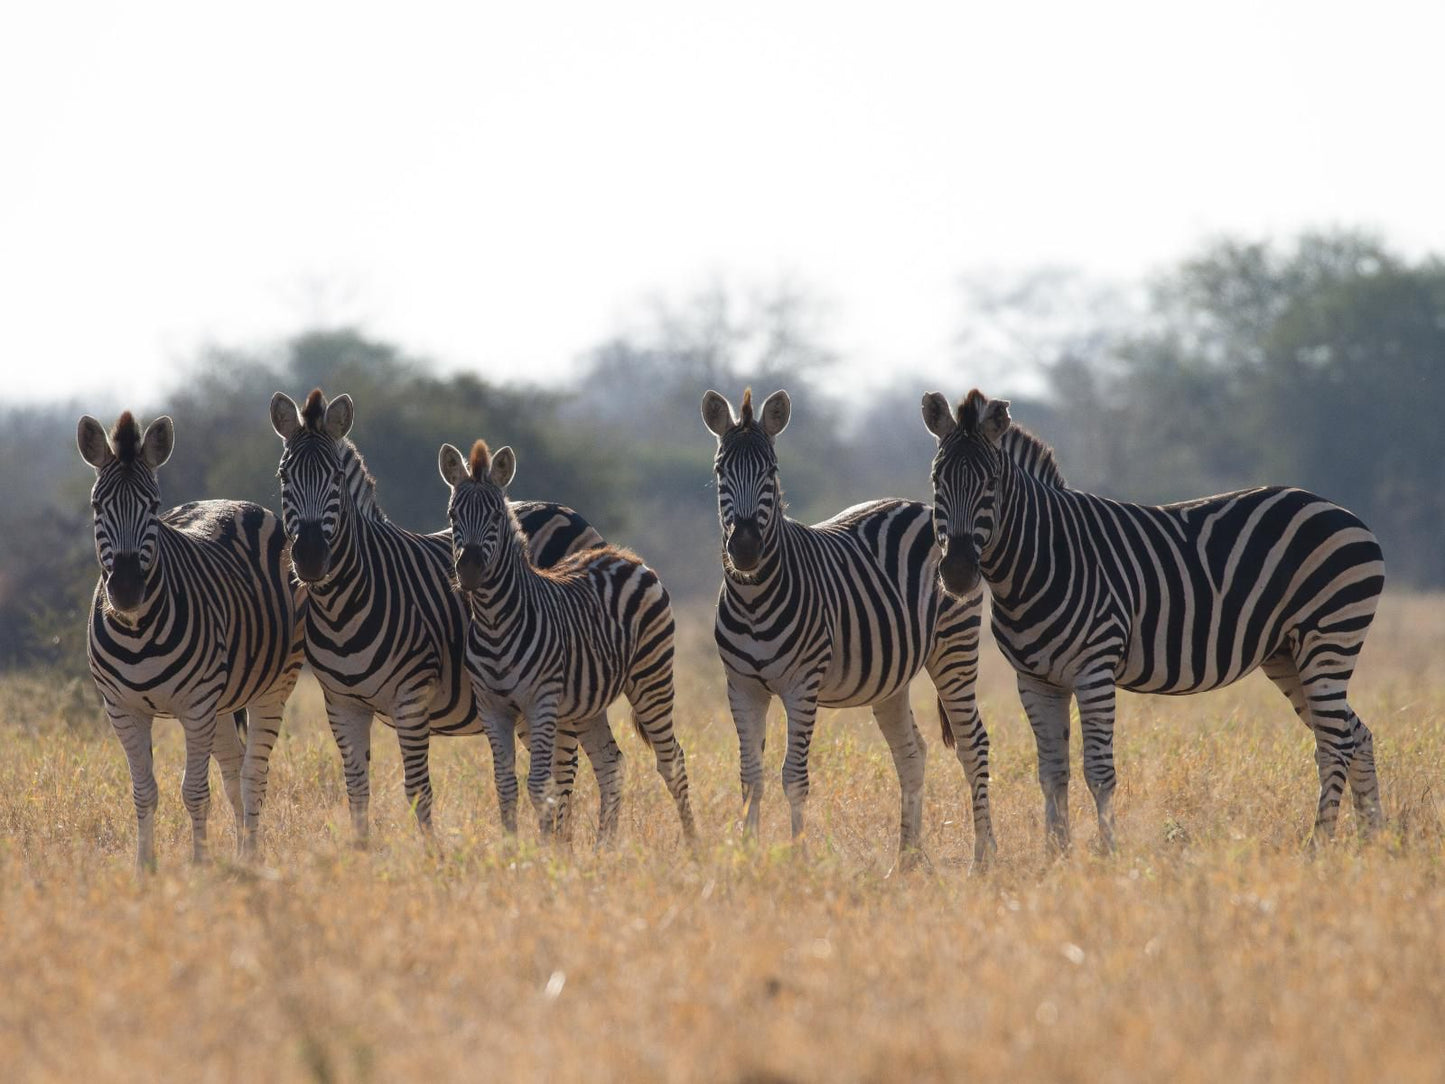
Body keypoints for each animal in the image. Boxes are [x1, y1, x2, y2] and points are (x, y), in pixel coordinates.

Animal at [78, 410, 302, 872]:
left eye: (153, 506)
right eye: (96, 506)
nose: (126, 590)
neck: (137, 632)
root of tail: (234, 502)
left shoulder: (196, 705)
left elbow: (194, 791)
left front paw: (199, 865)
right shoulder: (122, 709)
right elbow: (144, 792)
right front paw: (145, 868)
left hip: (271, 686)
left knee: (253, 774)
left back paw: (250, 855)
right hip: (222, 701)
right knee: (233, 768)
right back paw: (240, 851)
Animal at [268, 387, 601, 844]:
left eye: (335, 478)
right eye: (285, 477)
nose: (312, 558)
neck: (341, 607)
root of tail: (567, 510)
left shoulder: (411, 696)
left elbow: (417, 789)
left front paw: (432, 855)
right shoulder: (340, 703)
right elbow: (356, 788)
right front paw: (360, 851)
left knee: (565, 774)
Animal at [433, 439, 693, 838]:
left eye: (497, 517)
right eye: (452, 516)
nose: (470, 571)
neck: (495, 623)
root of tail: (625, 556)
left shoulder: (540, 702)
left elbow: (540, 786)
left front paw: (542, 849)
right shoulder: (493, 707)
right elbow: (504, 786)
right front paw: (510, 845)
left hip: (652, 678)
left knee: (672, 761)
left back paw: (694, 842)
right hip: (589, 702)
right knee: (610, 763)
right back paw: (604, 846)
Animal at [699, 387, 994, 872]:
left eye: (772, 472)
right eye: (721, 471)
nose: (744, 549)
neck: (754, 597)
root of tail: (922, 506)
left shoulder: (802, 685)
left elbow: (793, 777)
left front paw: (798, 859)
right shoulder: (741, 686)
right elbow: (750, 776)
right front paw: (747, 856)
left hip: (955, 649)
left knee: (974, 746)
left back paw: (982, 859)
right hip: (892, 679)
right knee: (911, 753)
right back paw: (905, 862)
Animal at [924, 387, 1387, 855]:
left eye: (991, 484)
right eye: (936, 482)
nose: (958, 573)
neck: (1040, 559)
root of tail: (1344, 513)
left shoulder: (1095, 669)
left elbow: (1098, 772)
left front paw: (1108, 853)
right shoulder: (1036, 679)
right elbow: (1052, 772)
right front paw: (1057, 856)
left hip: (1328, 637)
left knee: (1335, 743)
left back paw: (1318, 846)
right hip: (1287, 654)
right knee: (1356, 735)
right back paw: (1374, 840)